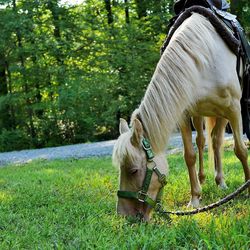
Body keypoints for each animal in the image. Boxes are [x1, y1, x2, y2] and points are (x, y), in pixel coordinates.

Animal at [112, 13, 249, 221]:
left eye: (133, 170)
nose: (124, 215)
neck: (205, 60)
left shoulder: (233, 109)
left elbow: (240, 150)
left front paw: (247, 186)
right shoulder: (184, 115)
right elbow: (189, 156)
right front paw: (195, 199)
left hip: (222, 114)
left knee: (216, 141)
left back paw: (221, 182)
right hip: (199, 115)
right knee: (202, 141)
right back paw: (204, 179)